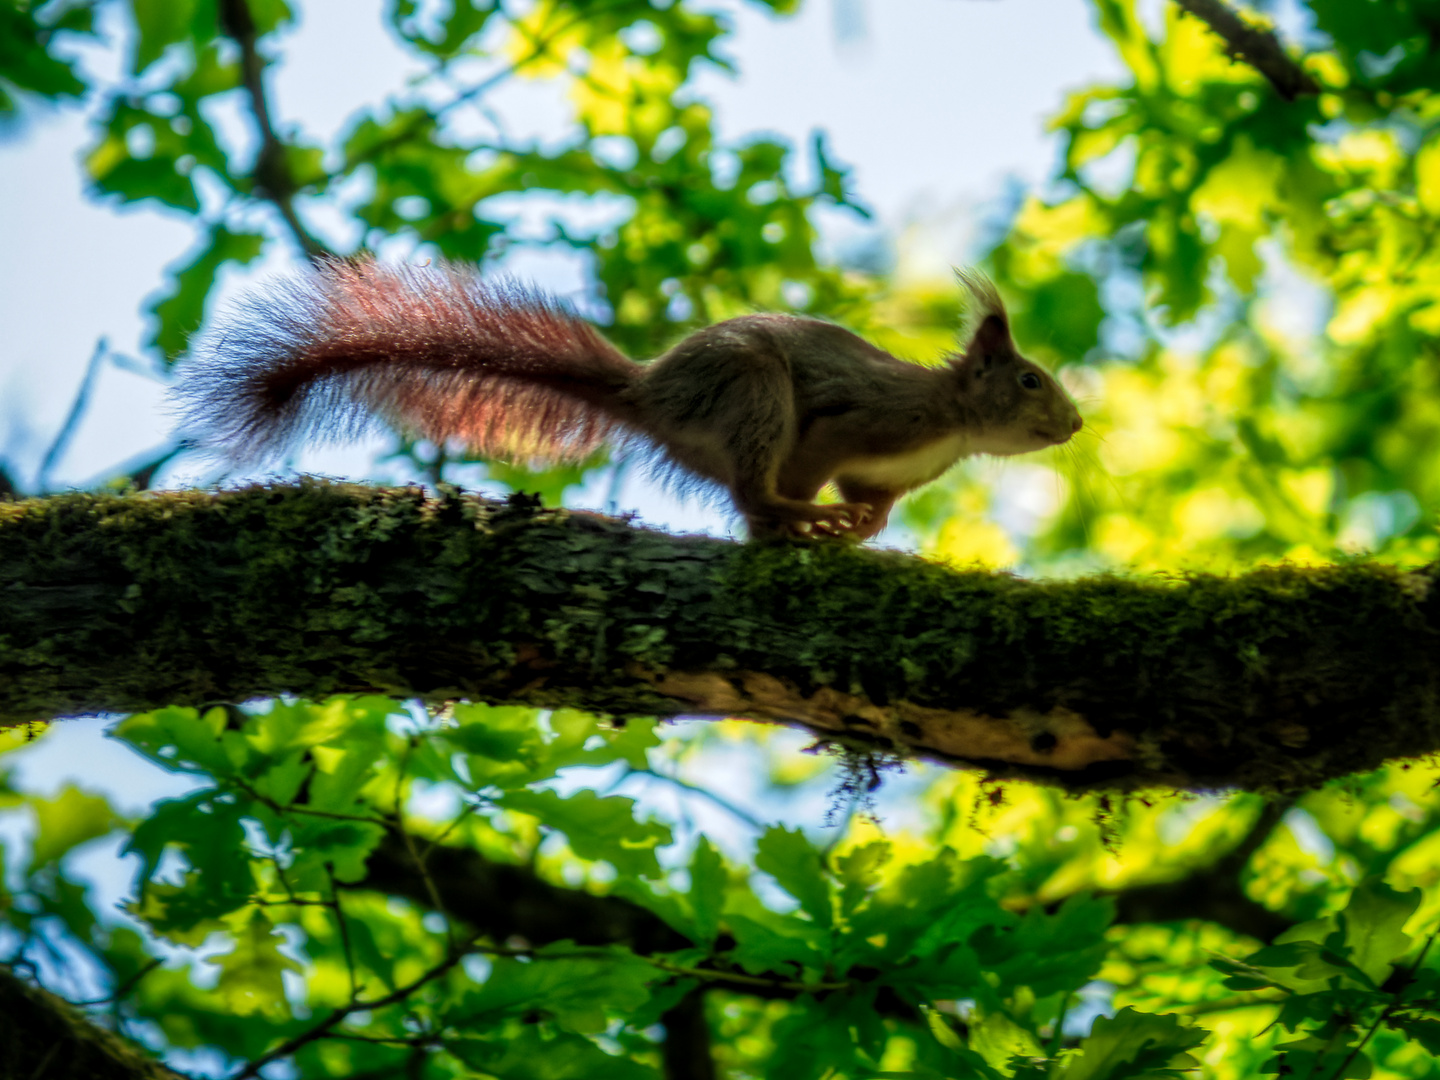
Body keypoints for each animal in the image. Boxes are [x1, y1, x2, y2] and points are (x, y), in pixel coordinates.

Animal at [174, 254, 1082, 541]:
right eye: (1029, 379)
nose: (1076, 424)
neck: (954, 427)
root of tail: (649, 393)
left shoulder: (888, 470)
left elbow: (875, 500)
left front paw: (863, 530)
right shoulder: (861, 420)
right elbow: (814, 466)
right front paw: (815, 522)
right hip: (753, 392)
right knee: (753, 485)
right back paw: (789, 515)